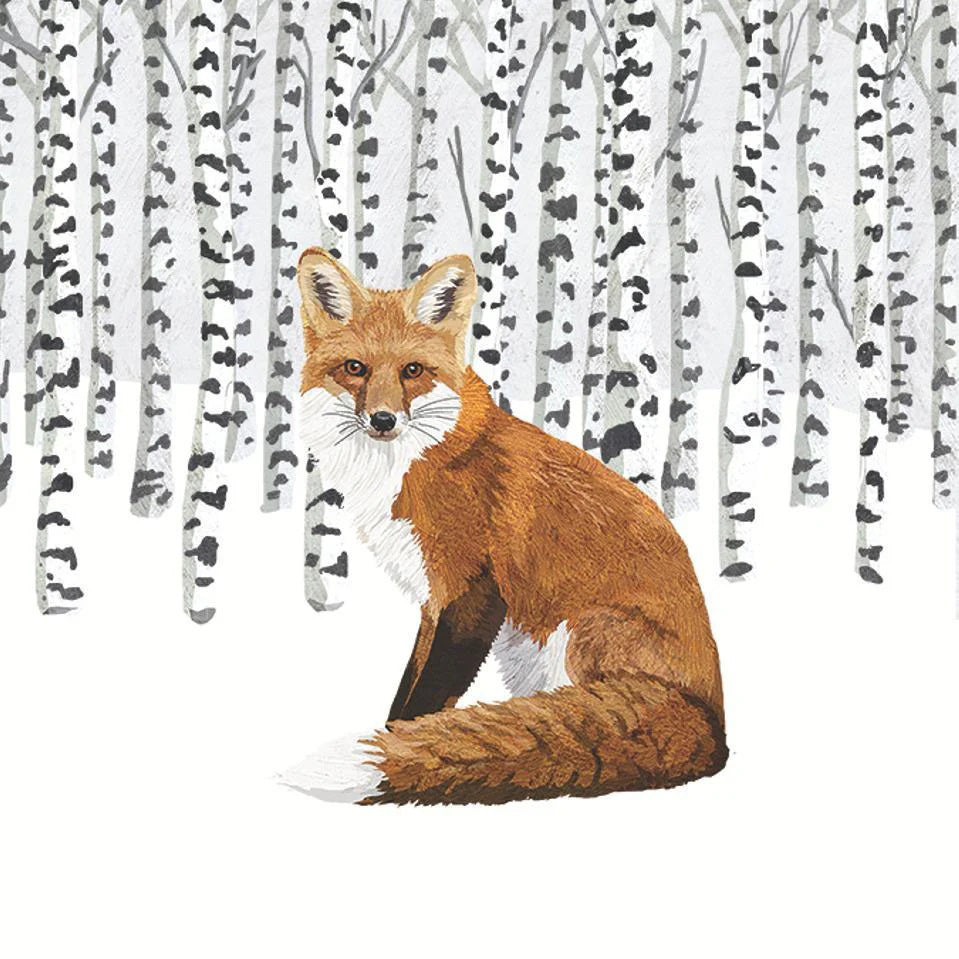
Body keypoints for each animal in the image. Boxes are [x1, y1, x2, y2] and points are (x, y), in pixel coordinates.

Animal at [279, 247, 727, 805]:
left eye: (412, 370)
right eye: (355, 368)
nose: (383, 420)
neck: (414, 462)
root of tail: (713, 721)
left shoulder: (473, 591)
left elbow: (423, 699)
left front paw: (404, 744)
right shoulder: (434, 597)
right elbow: (409, 688)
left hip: (580, 631)